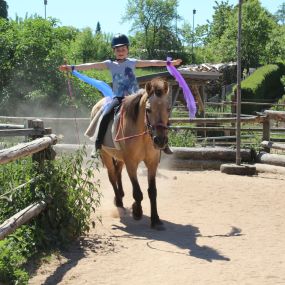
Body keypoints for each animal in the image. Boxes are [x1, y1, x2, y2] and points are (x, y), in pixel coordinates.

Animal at [87, 77, 170, 229]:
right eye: (148, 110)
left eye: (168, 109)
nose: (160, 140)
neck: (143, 136)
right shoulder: (131, 164)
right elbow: (137, 192)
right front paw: (137, 211)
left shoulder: (152, 163)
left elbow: (152, 191)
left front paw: (155, 219)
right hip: (106, 155)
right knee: (112, 176)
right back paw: (119, 202)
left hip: (119, 157)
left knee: (118, 172)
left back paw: (120, 195)